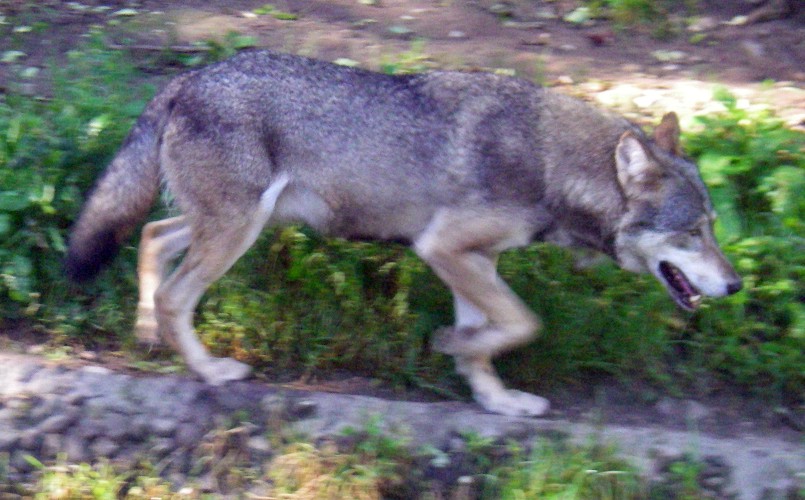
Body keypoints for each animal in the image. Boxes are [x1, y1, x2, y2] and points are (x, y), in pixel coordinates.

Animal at [65, 50, 742, 417]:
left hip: (237, 224)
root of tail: (189, 78)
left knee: (152, 238)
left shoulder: (473, 259)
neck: (553, 165)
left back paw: (146, 334)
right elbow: (524, 323)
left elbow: (493, 337)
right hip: (238, 230)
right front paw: (455, 347)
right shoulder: (444, 249)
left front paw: (494, 397)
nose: (736, 286)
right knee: (175, 293)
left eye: (711, 228)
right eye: (692, 232)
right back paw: (209, 371)